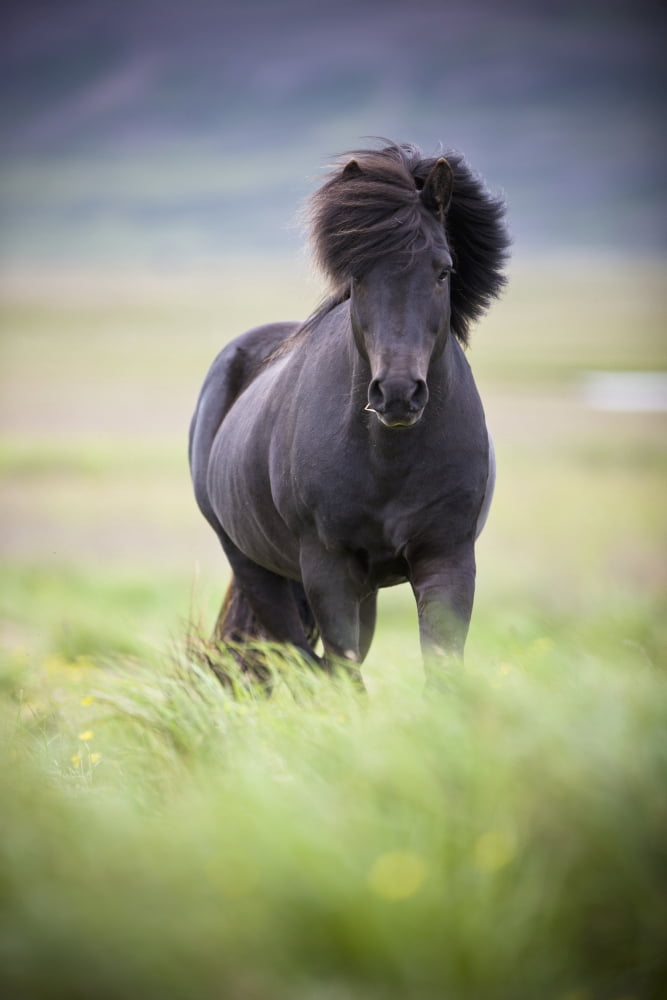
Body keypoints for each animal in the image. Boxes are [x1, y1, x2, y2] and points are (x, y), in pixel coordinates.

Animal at [189, 141, 509, 689]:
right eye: (357, 274)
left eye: (443, 270)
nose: (398, 393)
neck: (389, 459)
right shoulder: (329, 569)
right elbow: (340, 672)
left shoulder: (447, 560)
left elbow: (441, 669)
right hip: (257, 568)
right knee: (298, 656)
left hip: (367, 588)